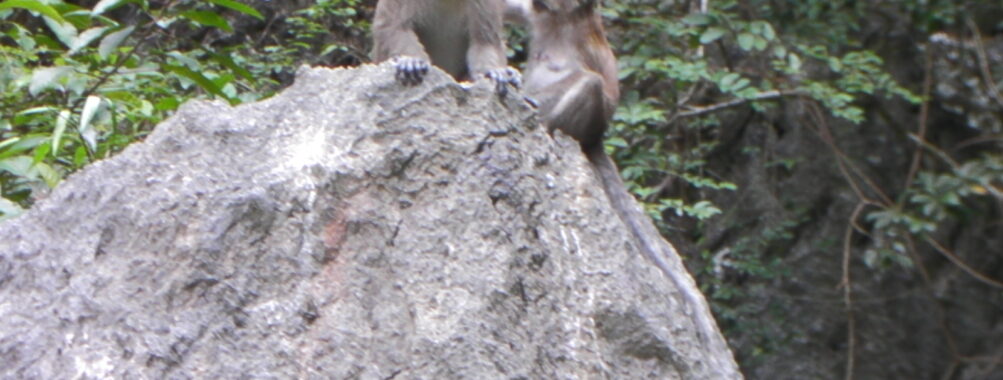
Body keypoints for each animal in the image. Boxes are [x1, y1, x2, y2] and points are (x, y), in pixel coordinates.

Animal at [509, 0, 730, 352]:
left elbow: (601, 84)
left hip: (584, 126)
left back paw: (543, 121)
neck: (561, 22)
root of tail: (594, 138)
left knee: (590, 84)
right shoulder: (539, 17)